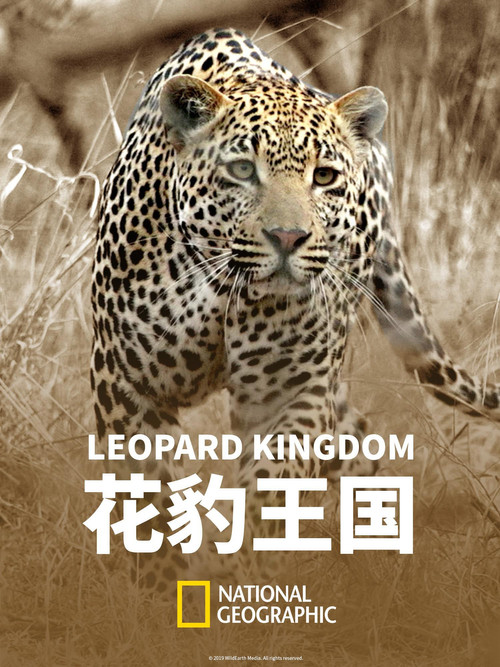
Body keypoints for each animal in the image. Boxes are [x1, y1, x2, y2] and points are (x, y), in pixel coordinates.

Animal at [90, 27, 499, 590]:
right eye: (242, 170)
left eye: (323, 176)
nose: (288, 237)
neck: (220, 286)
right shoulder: (129, 386)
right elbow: (149, 505)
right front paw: (160, 591)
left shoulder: (288, 391)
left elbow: (272, 490)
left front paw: (257, 579)